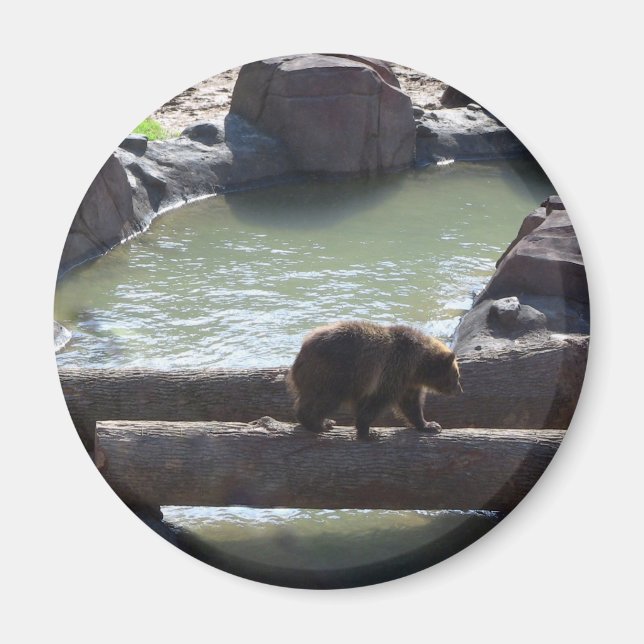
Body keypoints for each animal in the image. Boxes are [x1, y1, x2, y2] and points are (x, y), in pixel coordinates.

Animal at [287, 320, 463, 439]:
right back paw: (318, 423)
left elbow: (411, 404)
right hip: (333, 374)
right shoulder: (393, 370)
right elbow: (378, 400)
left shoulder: (406, 381)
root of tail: (302, 353)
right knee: (324, 399)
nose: (459, 390)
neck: (418, 366)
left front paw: (429, 425)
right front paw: (368, 432)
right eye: (456, 375)